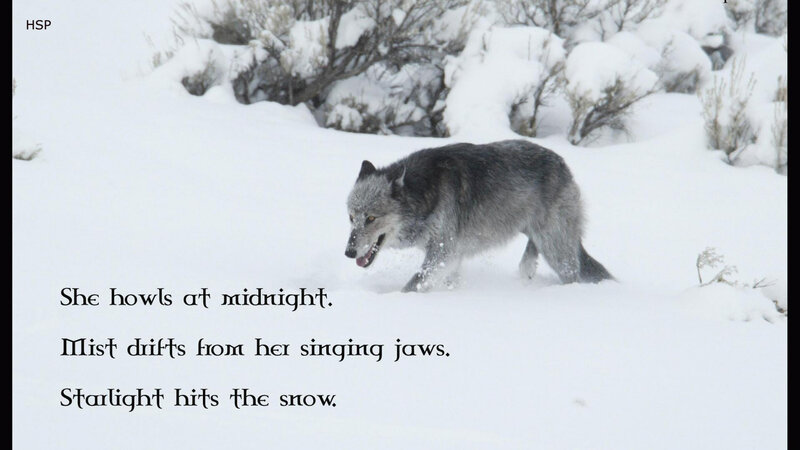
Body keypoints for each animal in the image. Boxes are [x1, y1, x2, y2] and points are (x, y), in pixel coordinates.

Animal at [344, 139, 613, 292]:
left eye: (371, 218)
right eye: (351, 217)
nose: (349, 252)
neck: (423, 193)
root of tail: (563, 164)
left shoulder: (444, 252)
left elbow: (411, 286)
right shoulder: (449, 258)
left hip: (556, 249)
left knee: (572, 274)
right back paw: (526, 271)